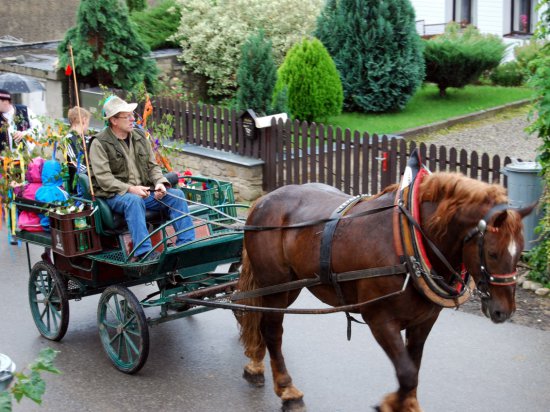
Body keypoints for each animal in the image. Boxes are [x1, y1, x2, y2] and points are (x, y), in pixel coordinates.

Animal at [239, 171, 536, 412]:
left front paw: (407, 403)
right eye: (493, 253)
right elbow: (406, 372)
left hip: (288, 287)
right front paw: (391, 403)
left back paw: (256, 365)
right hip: (275, 285)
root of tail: (263, 201)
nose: (503, 311)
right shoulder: (380, 320)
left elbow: (414, 366)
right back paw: (287, 390)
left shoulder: (423, 321)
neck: (408, 244)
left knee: (261, 320)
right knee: (273, 331)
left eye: (520, 251)